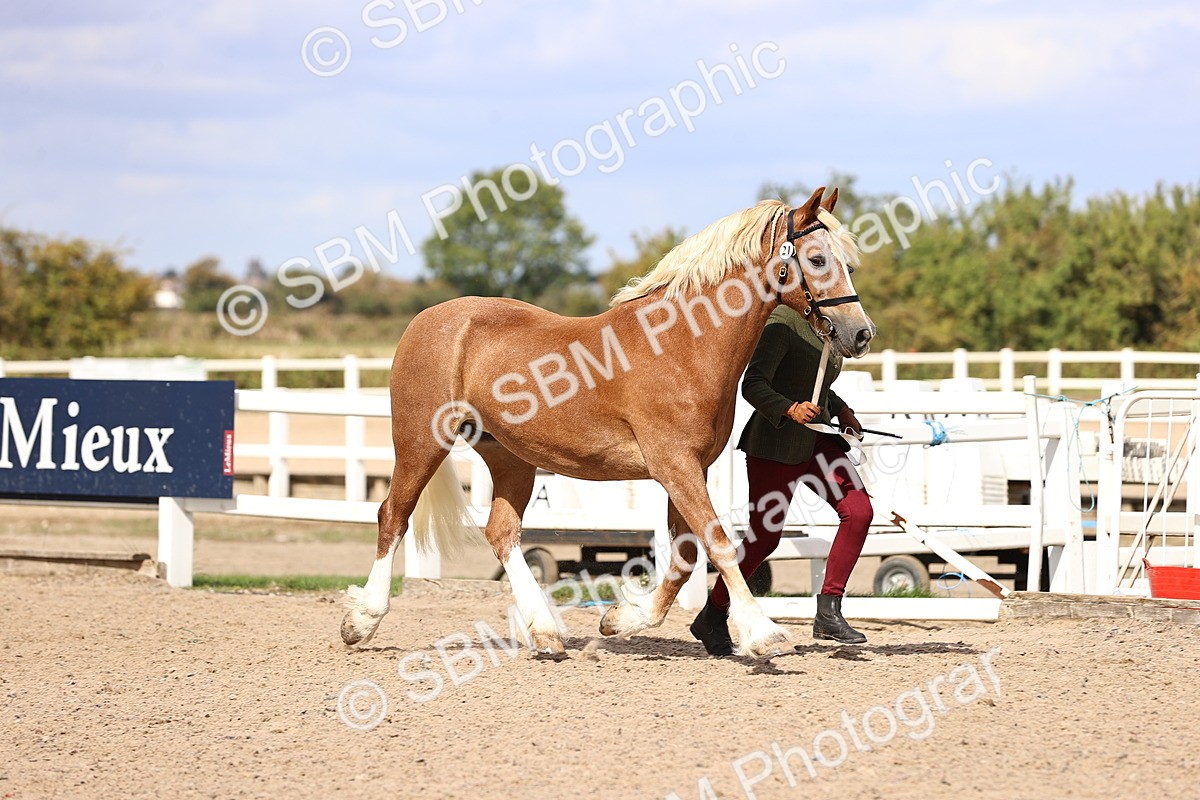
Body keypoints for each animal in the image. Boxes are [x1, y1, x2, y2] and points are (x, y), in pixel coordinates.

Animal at [341, 186, 875, 657]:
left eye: (847, 262)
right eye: (818, 260)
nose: (862, 334)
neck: (683, 344)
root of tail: (427, 319)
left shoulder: (691, 468)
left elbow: (685, 556)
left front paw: (621, 619)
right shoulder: (674, 465)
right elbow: (719, 543)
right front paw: (763, 634)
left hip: (509, 456)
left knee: (502, 533)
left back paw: (546, 633)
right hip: (420, 441)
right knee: (393, 515)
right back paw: (362, 620)